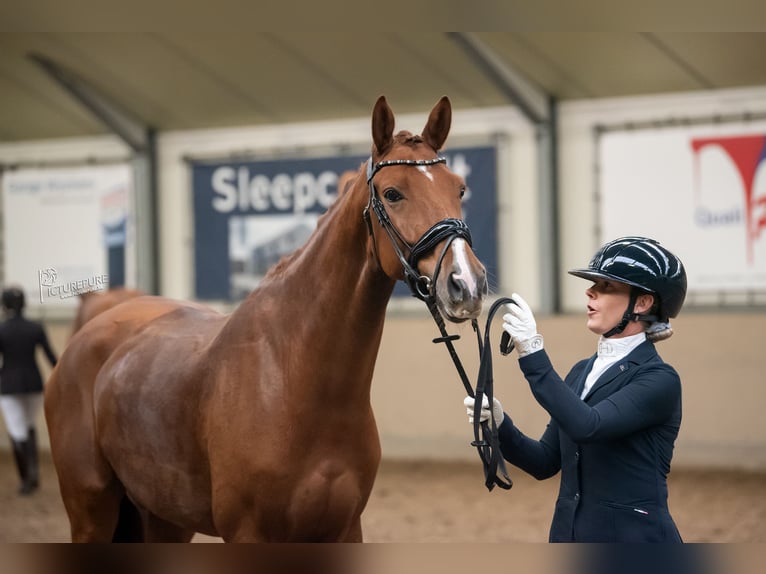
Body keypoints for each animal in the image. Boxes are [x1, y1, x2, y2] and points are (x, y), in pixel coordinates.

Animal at [45, 95, 488, 544]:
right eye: (393, 193)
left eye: (459, 188)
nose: (467, 282)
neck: (295, 378)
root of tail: (89, 334)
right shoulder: (248, 532)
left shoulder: (345, 529)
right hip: (90, 513)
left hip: (164, 518)